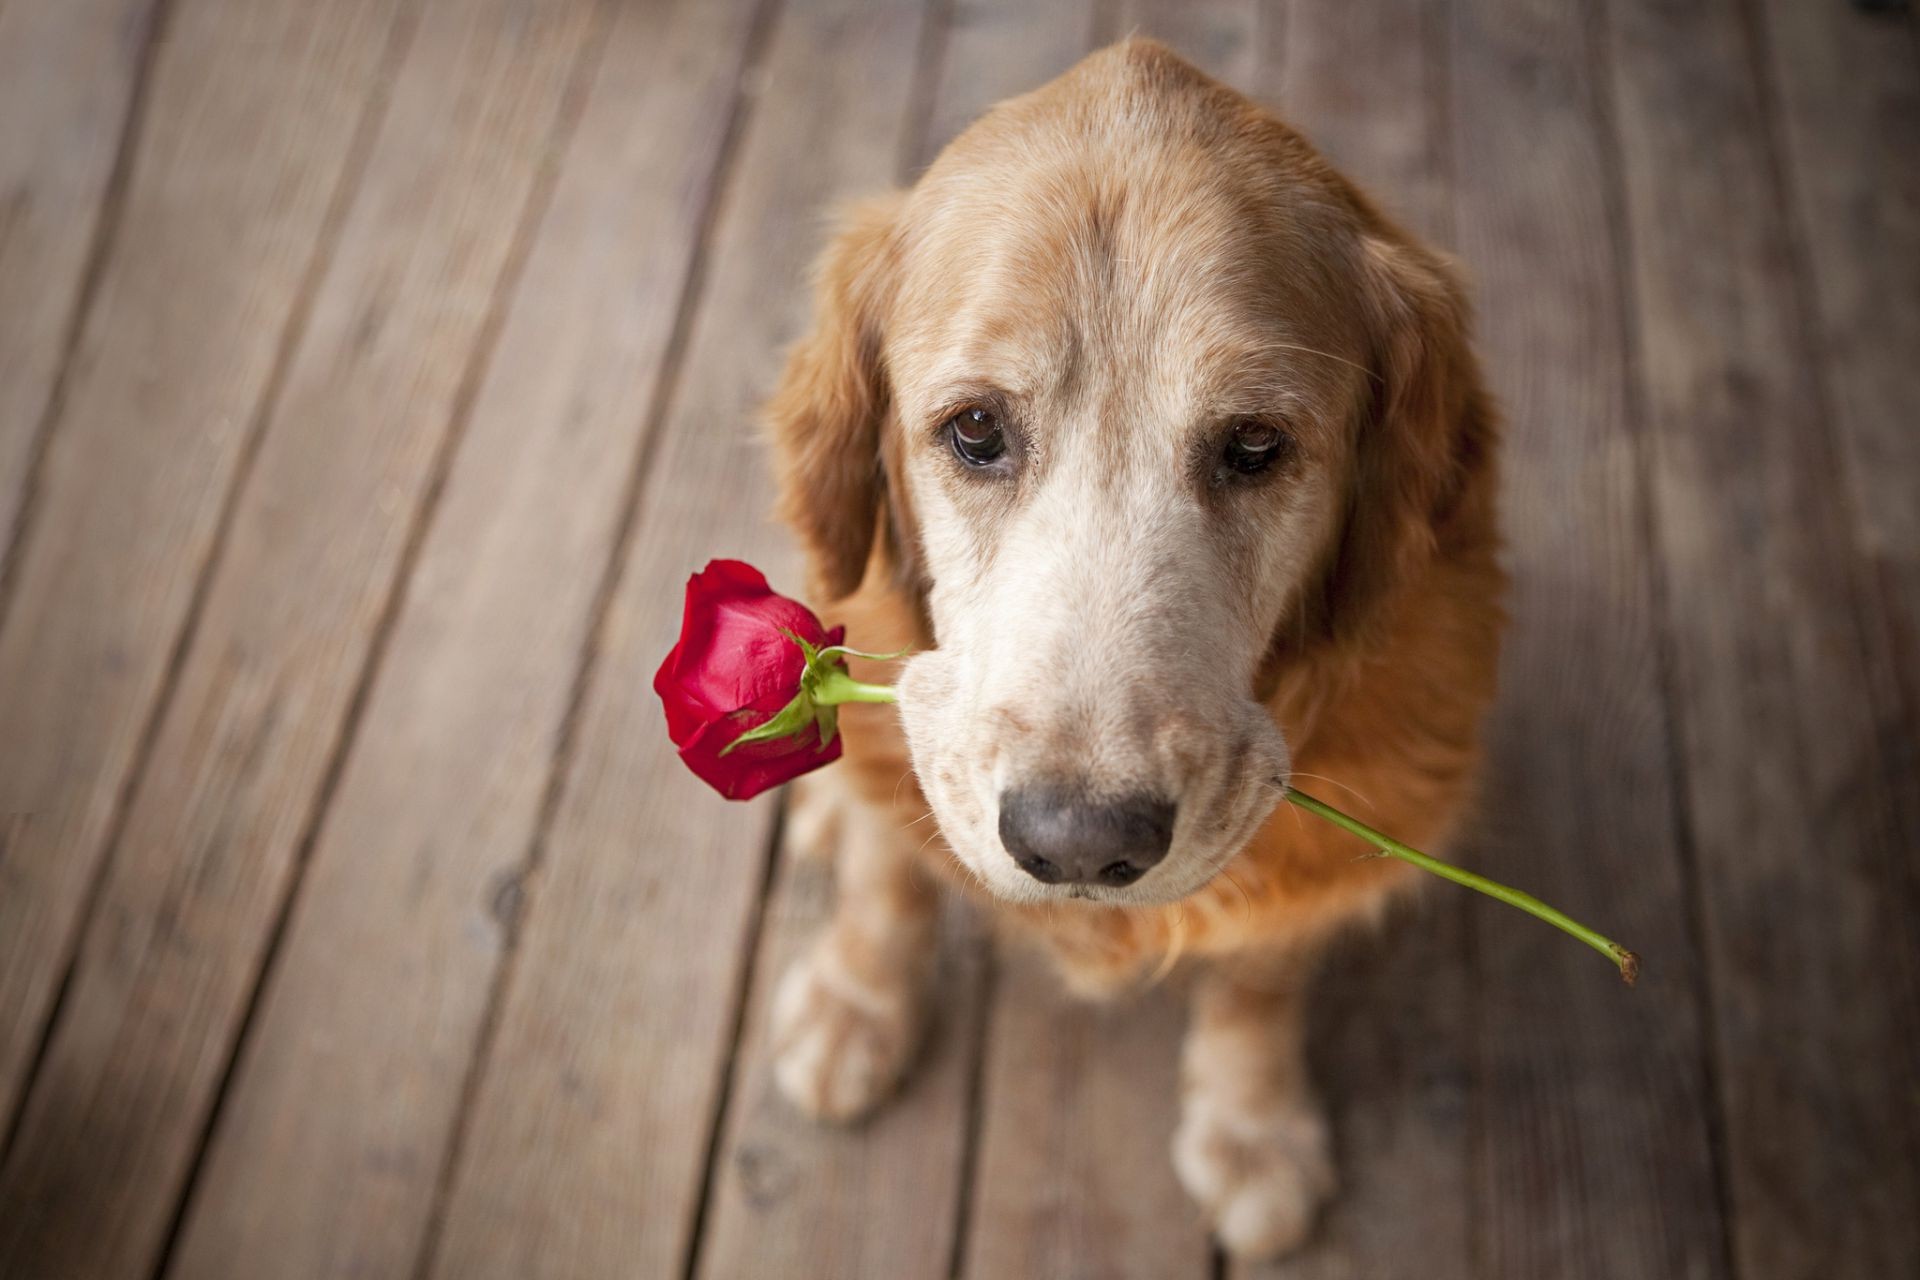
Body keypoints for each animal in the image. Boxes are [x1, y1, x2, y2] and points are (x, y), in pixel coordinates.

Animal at [760, 40, 1497, 1258]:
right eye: (975, 430)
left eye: (1256, 445)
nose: (1077, 844)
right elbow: (885, 882)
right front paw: (858, 1001)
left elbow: (1258, 982)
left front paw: (1254, 1126)